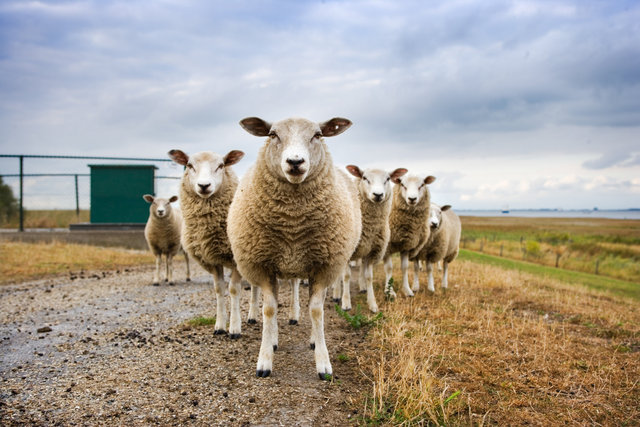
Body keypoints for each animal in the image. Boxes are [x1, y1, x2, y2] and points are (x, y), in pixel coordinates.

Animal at [169, 149, 262, 340]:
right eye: (189, 165)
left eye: (221, 165)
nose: (204, 185)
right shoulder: (213, 259)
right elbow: (219, 289)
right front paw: (219, 326)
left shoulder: (235, 259)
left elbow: (233, 290)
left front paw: (234, 328)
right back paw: (252, 316)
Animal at [229, 116, 360, 382]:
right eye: (272, 134)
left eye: (318, 135)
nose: (295, 162)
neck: (293, 223)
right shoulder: (264, 266)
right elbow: (269, 310)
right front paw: (264, 360)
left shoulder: (322, 267)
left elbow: (317, 312)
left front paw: (323, 363)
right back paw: (274, 341)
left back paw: (311, 340)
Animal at [332, 166, 408, 312]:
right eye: (365, 178)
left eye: (388, 179)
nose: (378, 194)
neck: (369, 228)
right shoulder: (349, 250)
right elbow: (346, 276)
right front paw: (346, 302)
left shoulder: (372, 252)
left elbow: (369, 277)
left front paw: (372, 304)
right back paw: (336, 293)